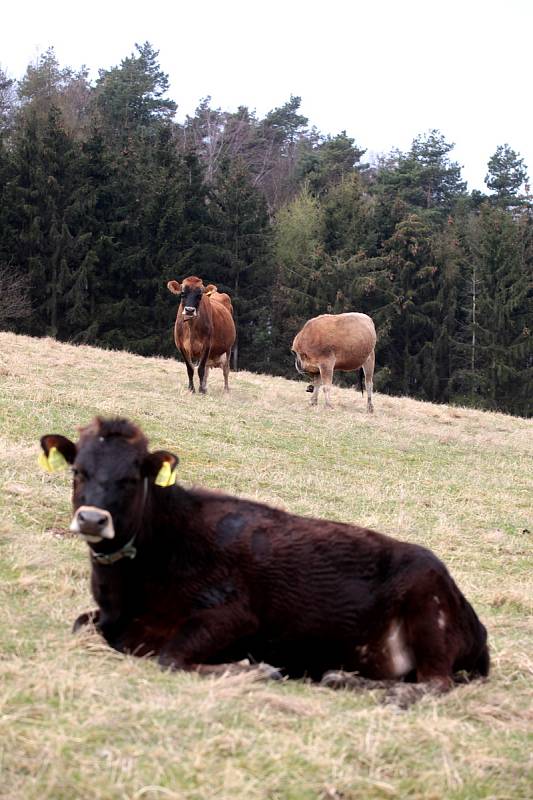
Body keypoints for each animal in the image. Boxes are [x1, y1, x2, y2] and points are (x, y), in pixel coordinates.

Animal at [40, 418, 490, 708]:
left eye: (132, 478)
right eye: (78, 471)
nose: (93, 519)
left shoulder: (235, 613)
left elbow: (169, 658)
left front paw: (255, 671)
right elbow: (80, 624)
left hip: (429, 609)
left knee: (437, 683)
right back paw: (341, 678)